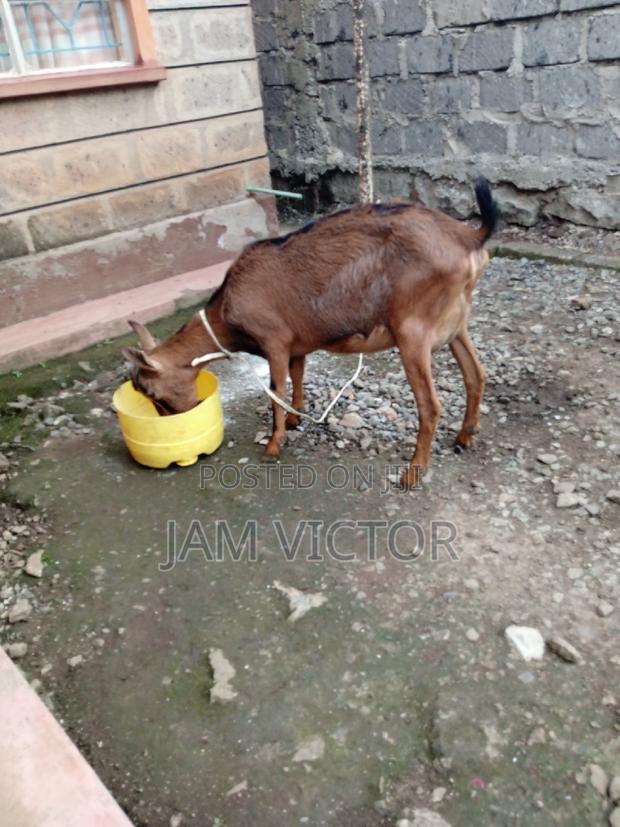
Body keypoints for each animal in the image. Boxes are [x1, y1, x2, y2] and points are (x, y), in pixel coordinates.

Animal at [123, 179, 500, 488]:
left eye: (152, 392)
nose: (175, 418)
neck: (228, 308)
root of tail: (466, 236)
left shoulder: (274, 341)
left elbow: (275, 390)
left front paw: (274, 444)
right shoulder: (297, 346)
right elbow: (298, 378)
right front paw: (294, 420)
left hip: (413, 332)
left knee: (431, 405)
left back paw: (412, 474)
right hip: (456, 325)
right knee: (476, 374)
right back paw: (465, 437)